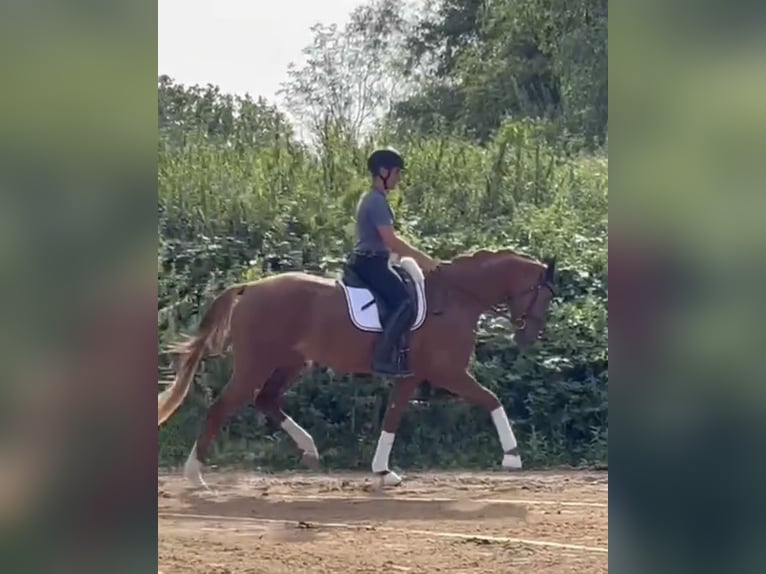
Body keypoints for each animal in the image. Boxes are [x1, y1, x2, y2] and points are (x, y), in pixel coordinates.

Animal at [159, 249, 560, 490]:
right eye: (543, 294)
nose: (529, 337)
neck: (458, 298)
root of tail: (249, 286)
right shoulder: (448, 372)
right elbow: (492, 400)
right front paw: (513, 457)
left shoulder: (411, 377)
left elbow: (392, 417)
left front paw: (383, 470)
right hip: (256, 364)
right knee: (222, 407)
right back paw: (195, 475)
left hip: (290, 361)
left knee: (267, 400)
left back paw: (310, 450)